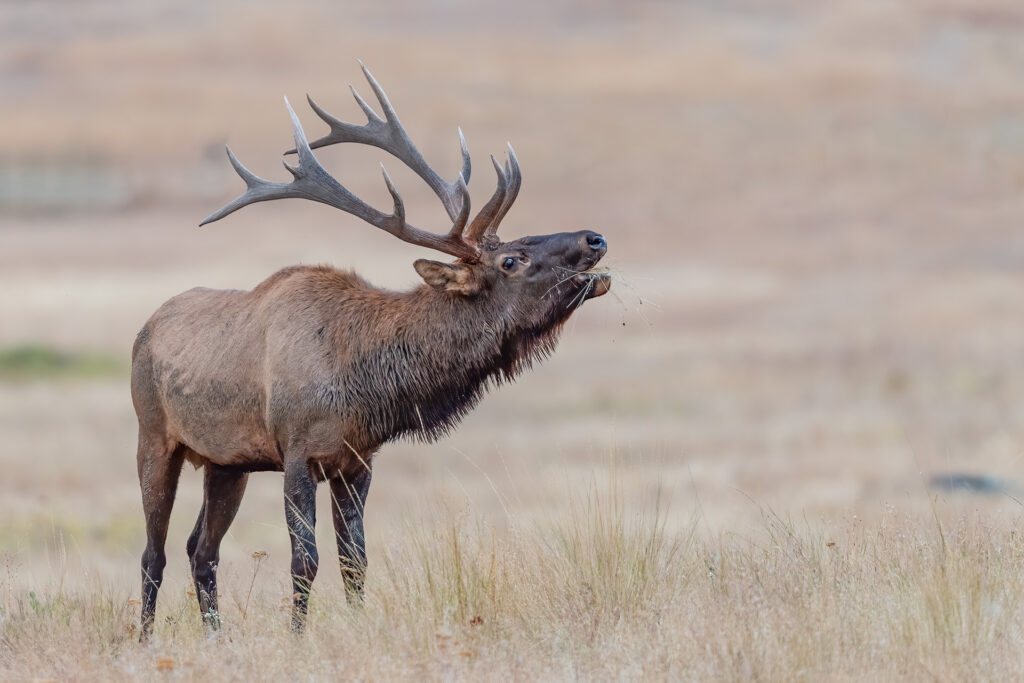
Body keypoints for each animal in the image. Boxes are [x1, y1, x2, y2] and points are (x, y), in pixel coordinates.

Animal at [132, 63, 610, 641]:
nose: (594, 238)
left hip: (227, 462)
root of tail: (144, 329)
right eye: (512, 260)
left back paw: (216, 637)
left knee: (200, 548)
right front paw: (298, 638)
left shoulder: (357, 460)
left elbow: (354, 561)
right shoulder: (298, 451)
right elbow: (305, 559)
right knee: (153, 552)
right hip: (155, 436)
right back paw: (143, 639)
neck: (364, 380)